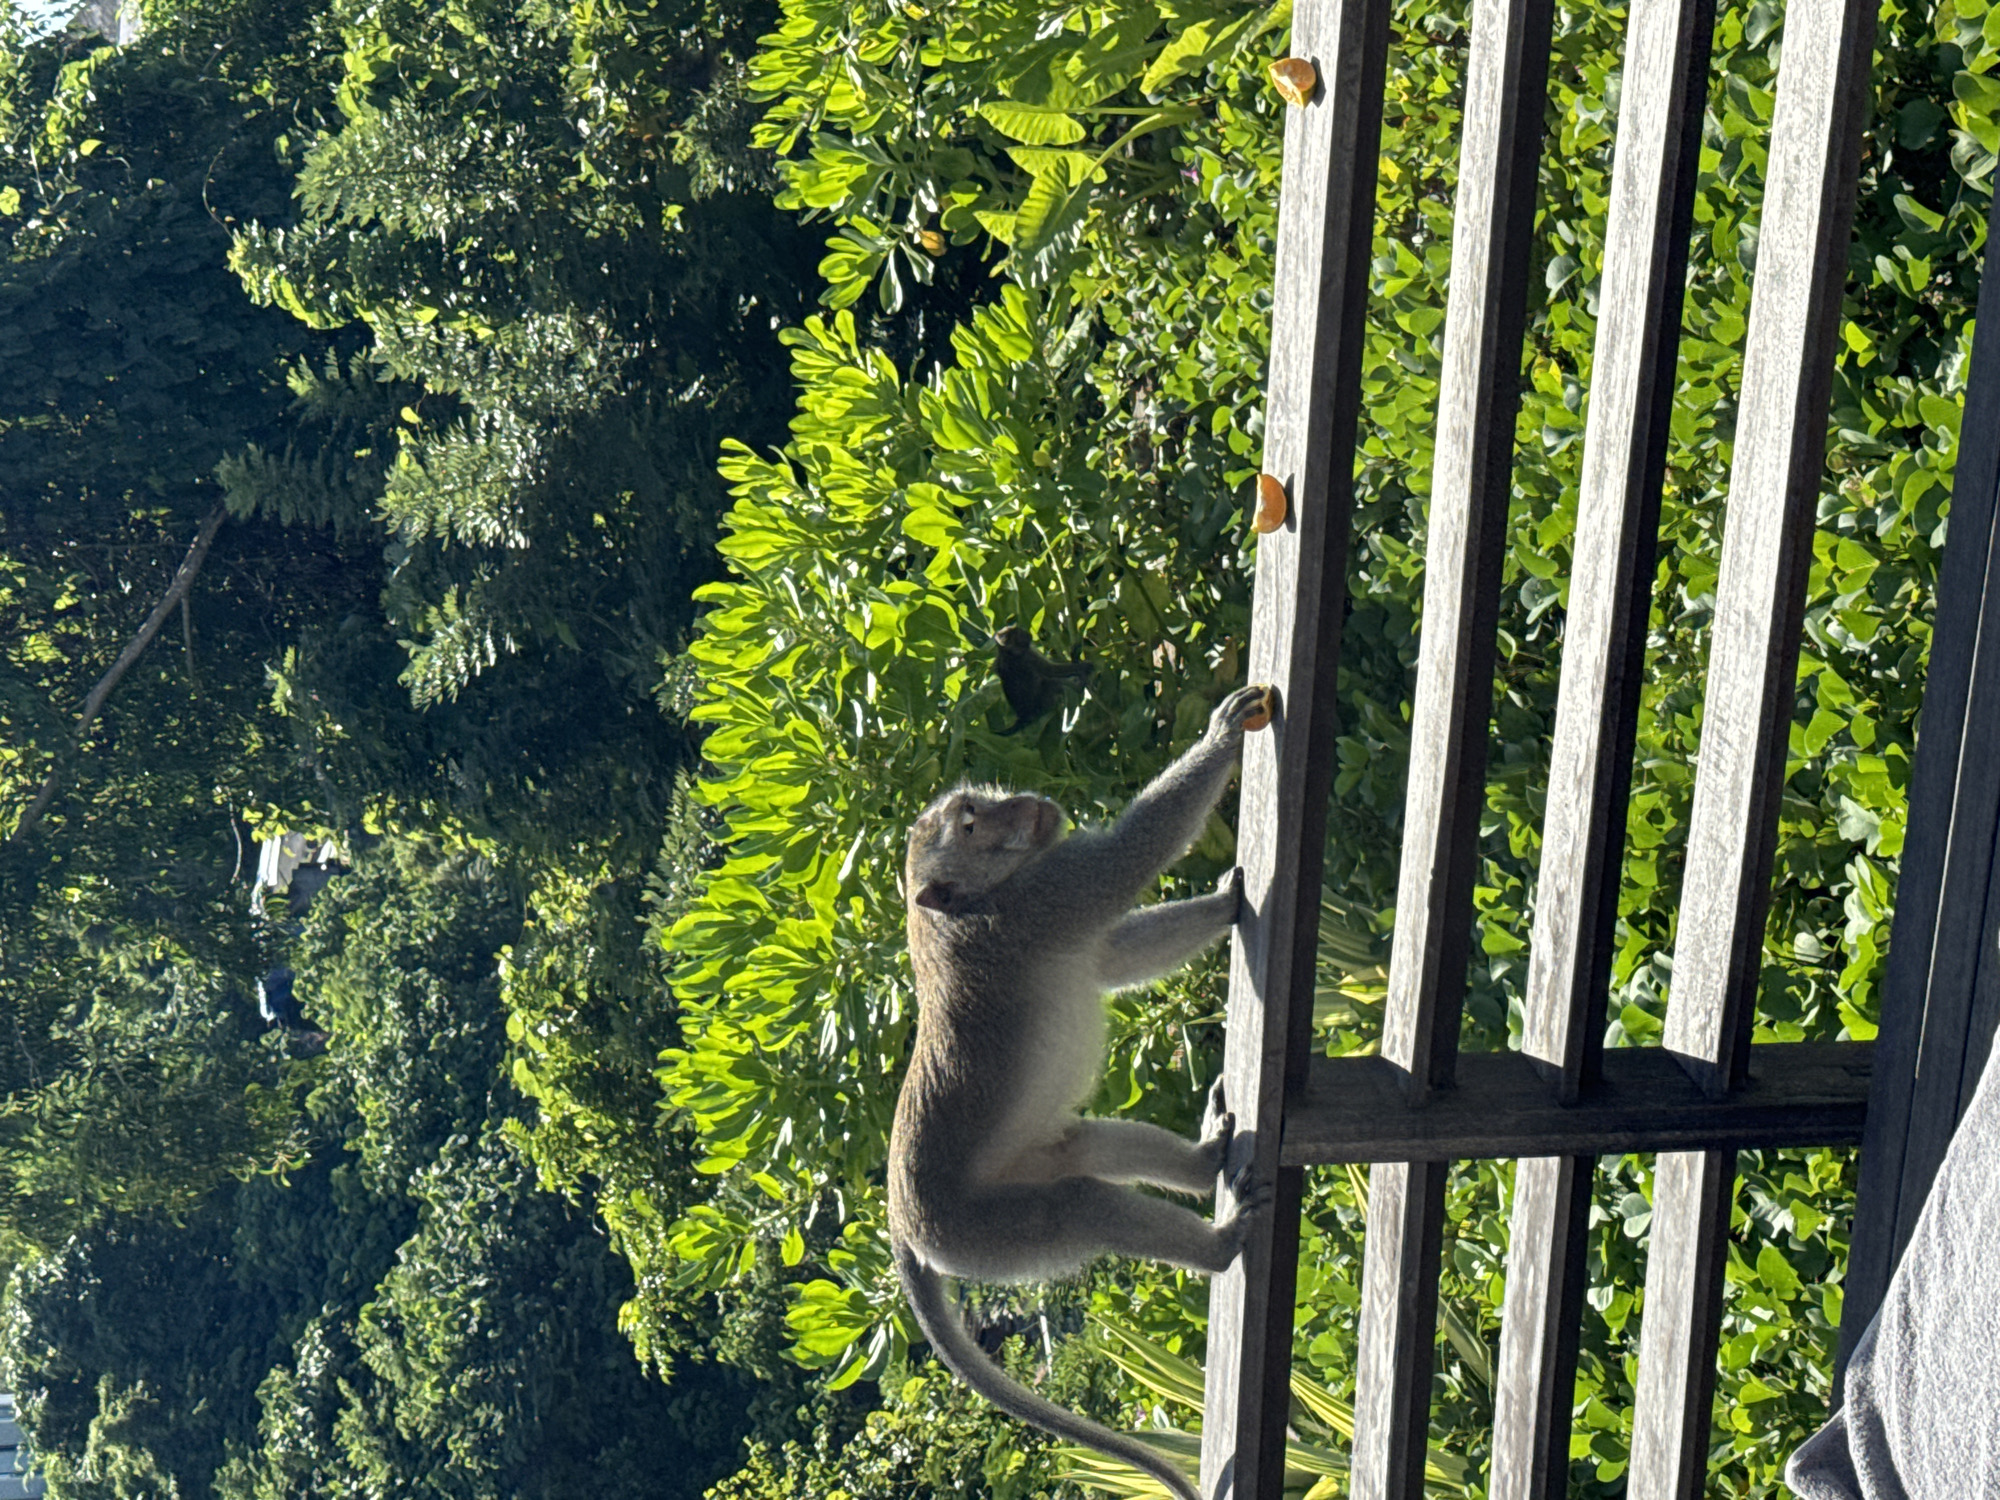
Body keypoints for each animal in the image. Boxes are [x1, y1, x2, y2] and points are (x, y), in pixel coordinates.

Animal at [889, 683, 1277, 1500]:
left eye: (973, 803)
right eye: (971, 824)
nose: (1022, 805)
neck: (966, 901)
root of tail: (903, 1229)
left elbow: (1110, 956)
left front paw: (1224, 901)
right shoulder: (1037, 902)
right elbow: (1123, 864)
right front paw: (1221, 737)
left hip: (1016, 1170)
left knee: (1080, 1147)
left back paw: (1199, 1165)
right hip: (976, 1231)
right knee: (1077, 1205)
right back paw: (1220, 1245)